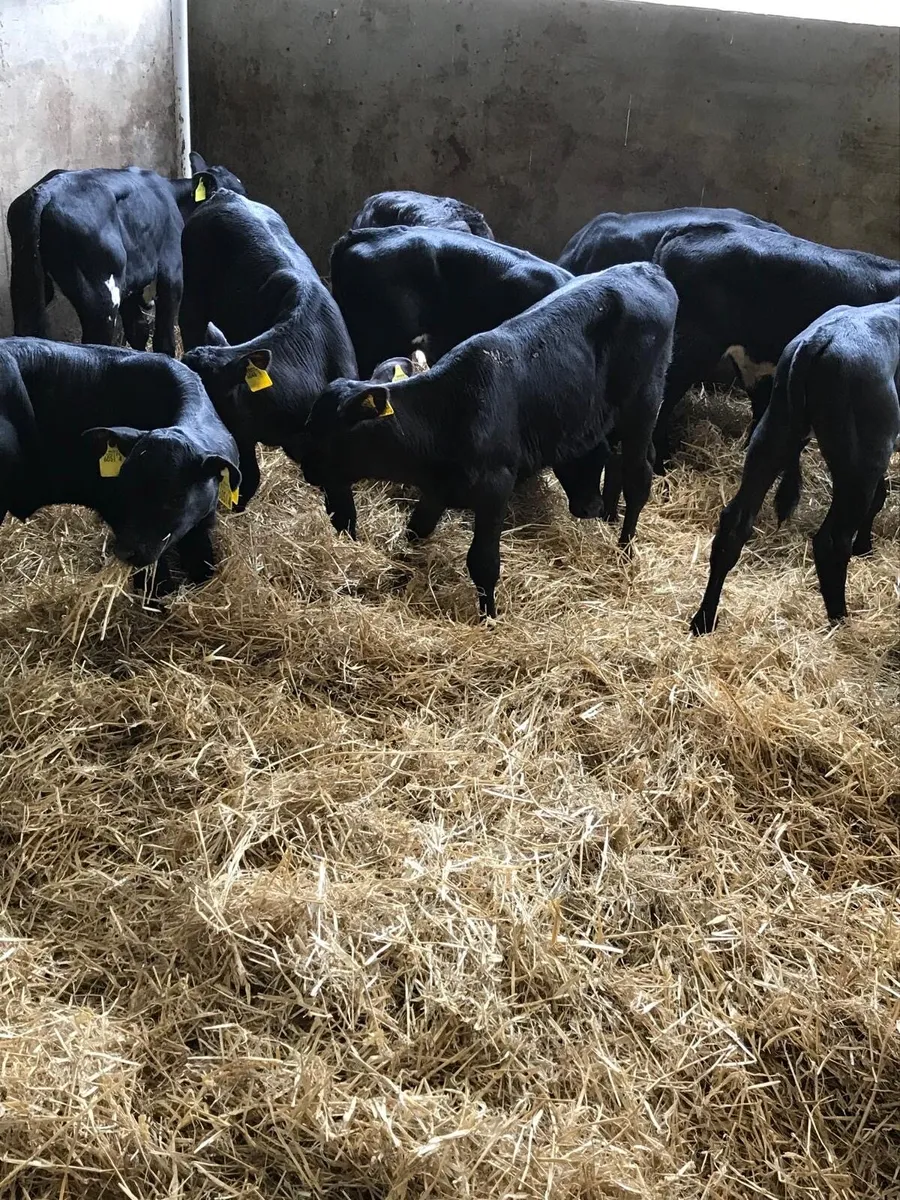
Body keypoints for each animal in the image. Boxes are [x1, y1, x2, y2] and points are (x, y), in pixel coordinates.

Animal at [0, 339, 241, 596]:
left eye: (176, 498)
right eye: (125, 487)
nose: (126, 552)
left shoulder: (203, 522)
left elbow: (201, 559)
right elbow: (156, 576)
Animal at [6, 152, 244, 356]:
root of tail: (47, 190)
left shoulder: (131, 281)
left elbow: (138, 329)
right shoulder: (173, 270)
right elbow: (163, 338)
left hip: (24, 283)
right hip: (102, 298)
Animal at [301, 263, 678, 619]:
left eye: (331, 435)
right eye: (310, 424)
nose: (306, 469)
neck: (448, 412)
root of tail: (646, 268)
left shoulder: (495, 487)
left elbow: (483, 562)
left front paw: (489, 618)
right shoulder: (438, 489)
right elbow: (415, 532)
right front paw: (397, 575)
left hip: (644, 402)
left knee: (639, 474)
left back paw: (625, 548)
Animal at [690, 298, 900, 634]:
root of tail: (817, 341)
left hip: (775, 431)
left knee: (734, 524)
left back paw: (704, 619)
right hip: (862, 456)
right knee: (832, 540)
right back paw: (841, 620)